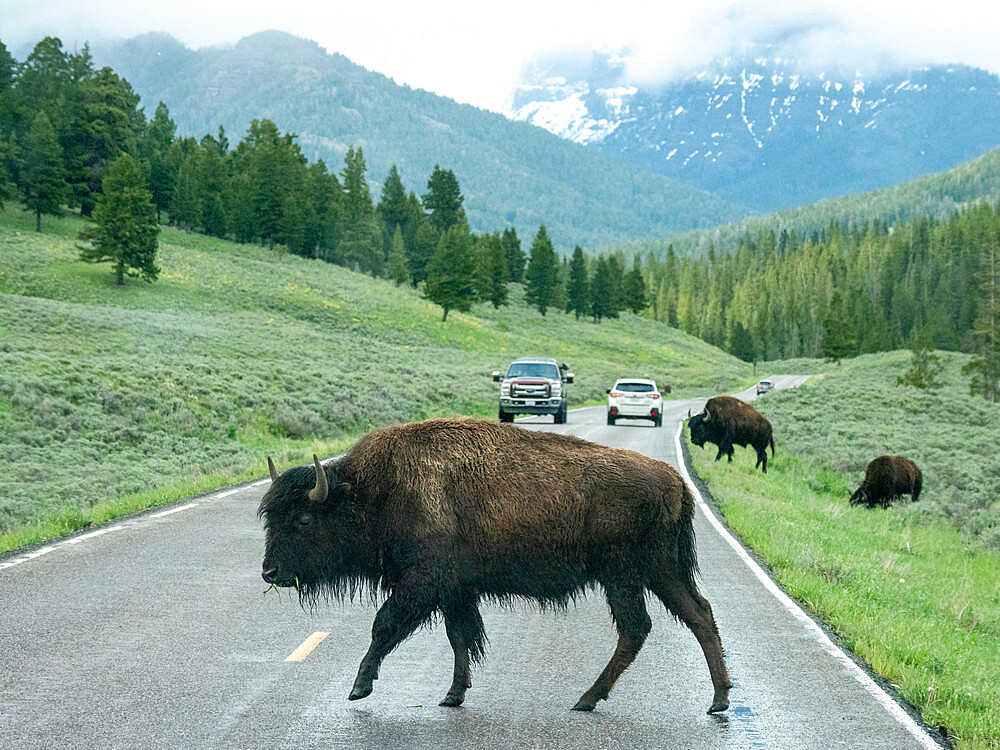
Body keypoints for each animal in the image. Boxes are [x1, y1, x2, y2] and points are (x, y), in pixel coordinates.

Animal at [256, 420, 736, 712]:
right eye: (271, 518)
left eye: (303, 519)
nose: (269, 573)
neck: (373, 492)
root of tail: (674, 480)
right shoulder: (455, 591)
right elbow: (459, 637)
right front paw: (453, 695)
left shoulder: (422, 584)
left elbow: (385, 625)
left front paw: (359, 688)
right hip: (660, 572)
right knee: (698, 614)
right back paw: (718, 700)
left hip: (625, 577)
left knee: (638, 628)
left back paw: (587, 699)